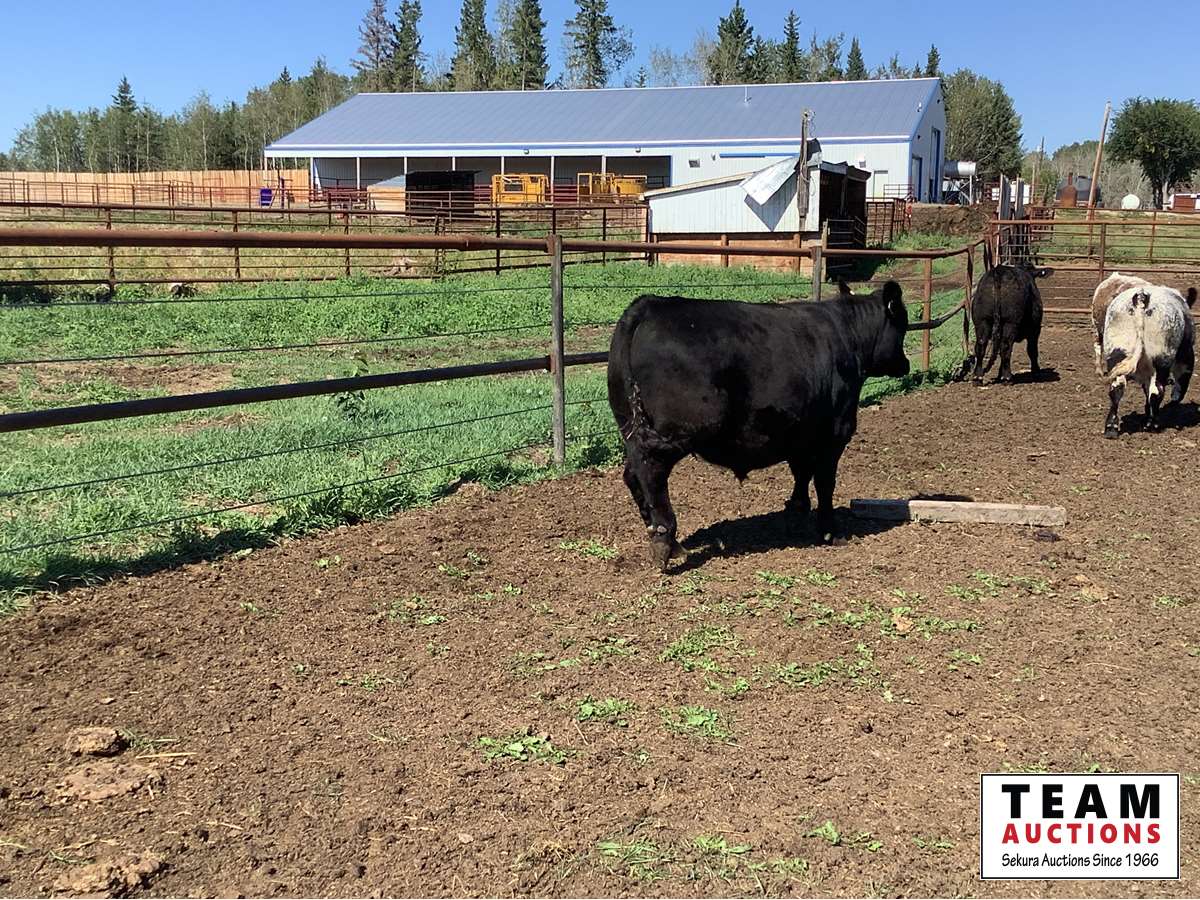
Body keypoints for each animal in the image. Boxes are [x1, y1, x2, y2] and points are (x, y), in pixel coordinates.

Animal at [607, 282, 911, 570]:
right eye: (902, 325)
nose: (905, 364)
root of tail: (649, 305)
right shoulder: (834, 433)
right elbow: (824, 482)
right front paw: (830, 532)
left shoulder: (800, 433)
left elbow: (801, 474)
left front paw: (796, 513)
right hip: (673, 434)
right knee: (651, 472)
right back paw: (665, 541)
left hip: (630, 424)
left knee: (632, 475)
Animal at [970, 254, 1053, 384]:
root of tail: (998, 271)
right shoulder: (1035, 329)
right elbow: (1032, 350)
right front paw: (1036, 371)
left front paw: (999, 373)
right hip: (1010, 322)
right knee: (1006, 345)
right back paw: (1007, 377)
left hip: (982, 320)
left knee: (981, 345)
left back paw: (978, 376)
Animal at [1101, 284, 1195, 437]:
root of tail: (1142, 297)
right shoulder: (1185, 357)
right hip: (1161, 361)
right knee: (1156, 390)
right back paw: (1153, 424)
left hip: (1116, 354)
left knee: (1117, 389)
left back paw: (1111, 428)